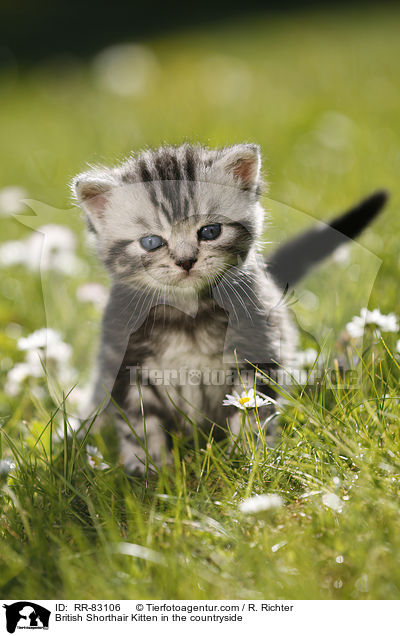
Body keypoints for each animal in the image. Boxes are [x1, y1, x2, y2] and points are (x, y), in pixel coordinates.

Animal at [72, 144, 388, 472]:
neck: (188, 316)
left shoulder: (256, 350)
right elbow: (139, 424)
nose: (186, 261)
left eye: (210, 231)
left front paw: (248, 461)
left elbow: (251, 410)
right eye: (151, 242)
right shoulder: (123, 364)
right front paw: (151, 470)